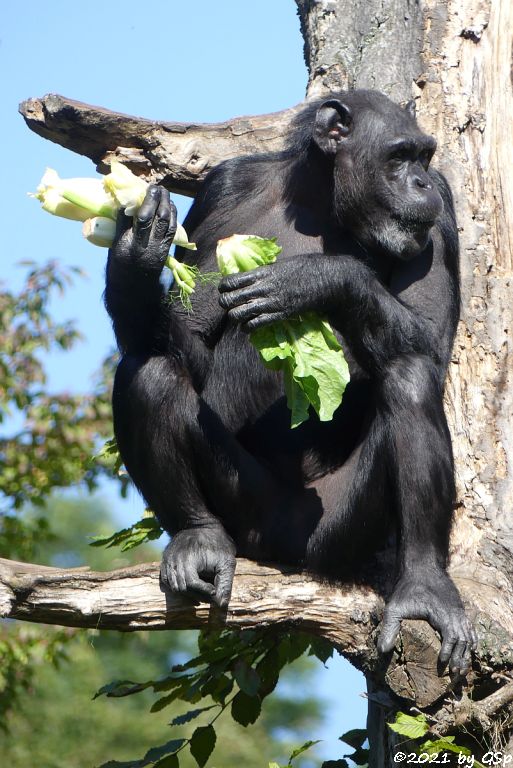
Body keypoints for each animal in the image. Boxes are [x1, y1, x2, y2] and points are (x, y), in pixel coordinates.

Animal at [104, 91, 476, 672]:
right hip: (244, 508)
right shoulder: (223, 191)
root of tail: (284, 549)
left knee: (410, 375)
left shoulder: (438, 215)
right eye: (398, 157)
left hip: (336, 529)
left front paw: (316, 279)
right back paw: (198, 539)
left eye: (423, 158)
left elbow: (432, 341)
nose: (418, 183)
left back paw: (423, 589)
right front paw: (135, 253)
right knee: (149, 367)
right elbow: (189, 335)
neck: (322, 201)